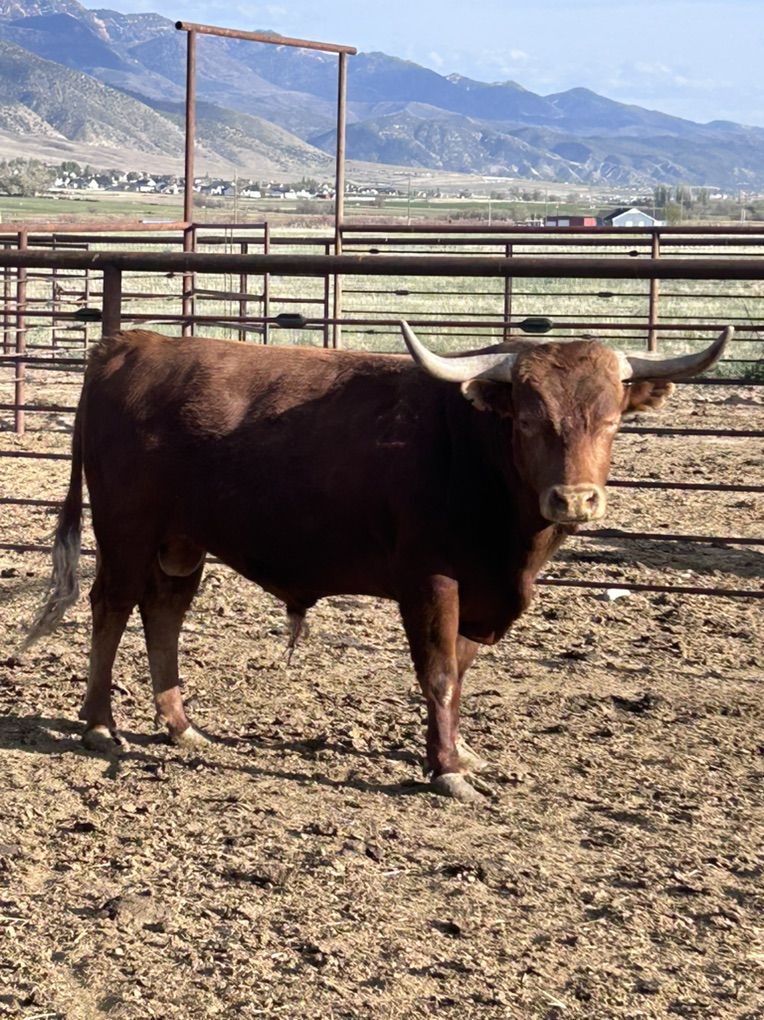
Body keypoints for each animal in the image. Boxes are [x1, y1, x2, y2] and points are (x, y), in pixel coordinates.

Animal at [24, 323, 731, 801]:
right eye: (530, 419)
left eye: (611, 420)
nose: (574, 499)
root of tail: (131, 345)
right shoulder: (431, 581)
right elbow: (439, 673)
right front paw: (447, 771)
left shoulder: (475, 592)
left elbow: (461, 671)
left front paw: (459, 751)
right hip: (127, 531)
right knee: (112, 607)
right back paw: (99, 725)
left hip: (181, 543)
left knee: (163, 613)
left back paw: (180, 726)